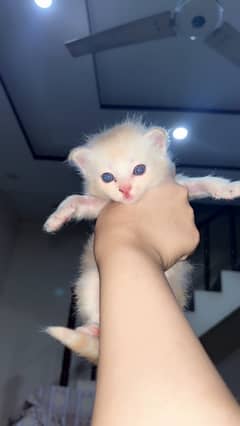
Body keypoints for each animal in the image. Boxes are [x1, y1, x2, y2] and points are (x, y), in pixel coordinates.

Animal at [44, 120, 240, 362]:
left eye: (139, 170)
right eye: (107, 177)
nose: (125, 189)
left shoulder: (179, 185)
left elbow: (204, 182)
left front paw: (231, 188)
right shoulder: (102, 206)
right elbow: (75, 199)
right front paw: (55, 219)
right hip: (89, 282)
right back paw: (92, 329)